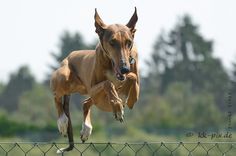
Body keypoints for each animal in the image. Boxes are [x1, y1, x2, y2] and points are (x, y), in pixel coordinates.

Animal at [49, 7, 138, 154]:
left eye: (129, 42)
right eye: (112, 42)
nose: (125, 68)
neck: (111, 66)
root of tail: (69, 56)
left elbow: (132, 78)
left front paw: (124, 97)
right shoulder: (94, 89)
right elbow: (108, 83)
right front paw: (117, 105)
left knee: (85, 103)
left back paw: (86, 128)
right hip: (64, 77)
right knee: (57, 96)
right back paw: (62, 121)